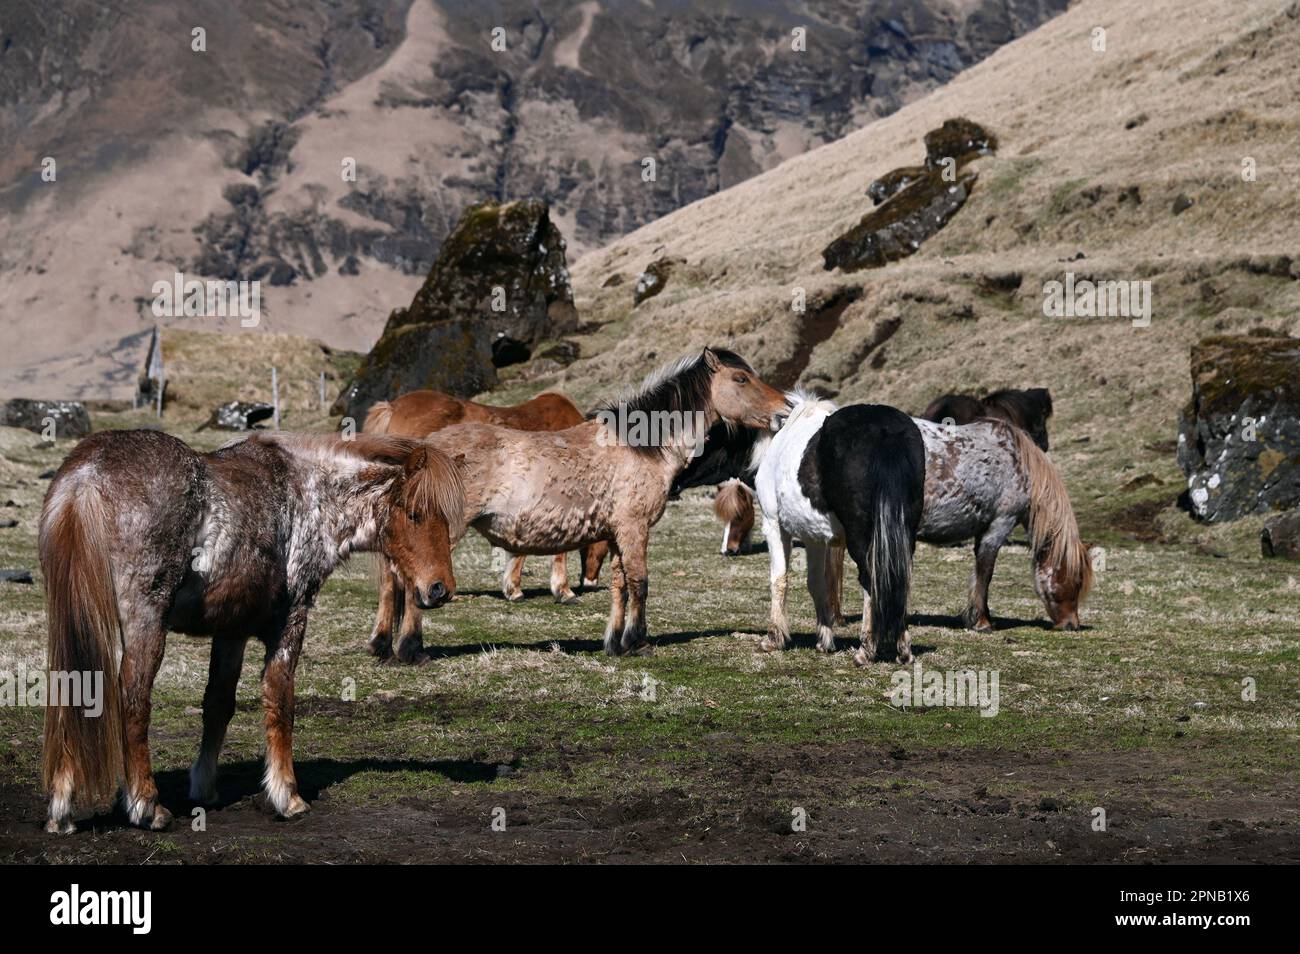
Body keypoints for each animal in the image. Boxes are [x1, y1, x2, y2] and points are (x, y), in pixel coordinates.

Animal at [40, 429, 464, 833]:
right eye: (414, 514)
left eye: (444, 518)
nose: (440, 589)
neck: (309, 496)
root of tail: (86, 476)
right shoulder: (290, 622)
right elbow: (280, 701)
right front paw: (287, 796)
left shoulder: (232, 630)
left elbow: (218, 705)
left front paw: (205, 788)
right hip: (145, 621)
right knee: (133, 698)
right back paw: (147, 806)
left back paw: (62, 810)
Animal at [395, 348, 789, 660]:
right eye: (741, 378)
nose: (785, 409)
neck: (640, 447)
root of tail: (426, 450)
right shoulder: (634, 529)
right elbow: (640, 583)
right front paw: (638, 642)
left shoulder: (615, 535)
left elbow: (619, 585)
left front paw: (616, 643)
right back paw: (411, 650)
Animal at [756, 397, 926, 665]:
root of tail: (885, 431)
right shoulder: (813, 538)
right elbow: (817, 583)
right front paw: (824, 640)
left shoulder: (773, 524)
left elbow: (779, 579)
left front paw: (774, 639)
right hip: (905, 533)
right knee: (900, 579)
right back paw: (903, 649)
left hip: (860, 537)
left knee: (870, 579)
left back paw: (866, 649)